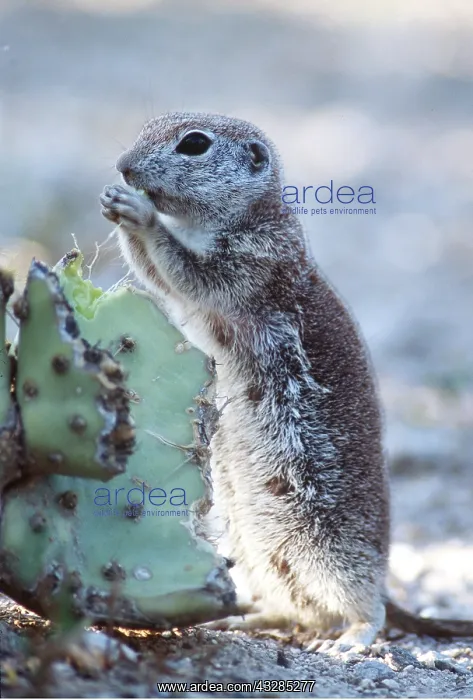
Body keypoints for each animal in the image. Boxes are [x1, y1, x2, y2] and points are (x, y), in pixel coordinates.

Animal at [100, 112, 473, 651]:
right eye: (148, 126)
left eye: (194, 144)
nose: (123, 166)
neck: (237, 217)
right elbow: (160, 277)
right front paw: (116, 201)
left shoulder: (256, 260)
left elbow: (190, 273)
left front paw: (142, 215)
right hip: (254, 544)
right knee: (294, 605)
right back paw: (243, 617)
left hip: (329, 547)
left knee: (366, 607)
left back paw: (352, 636)